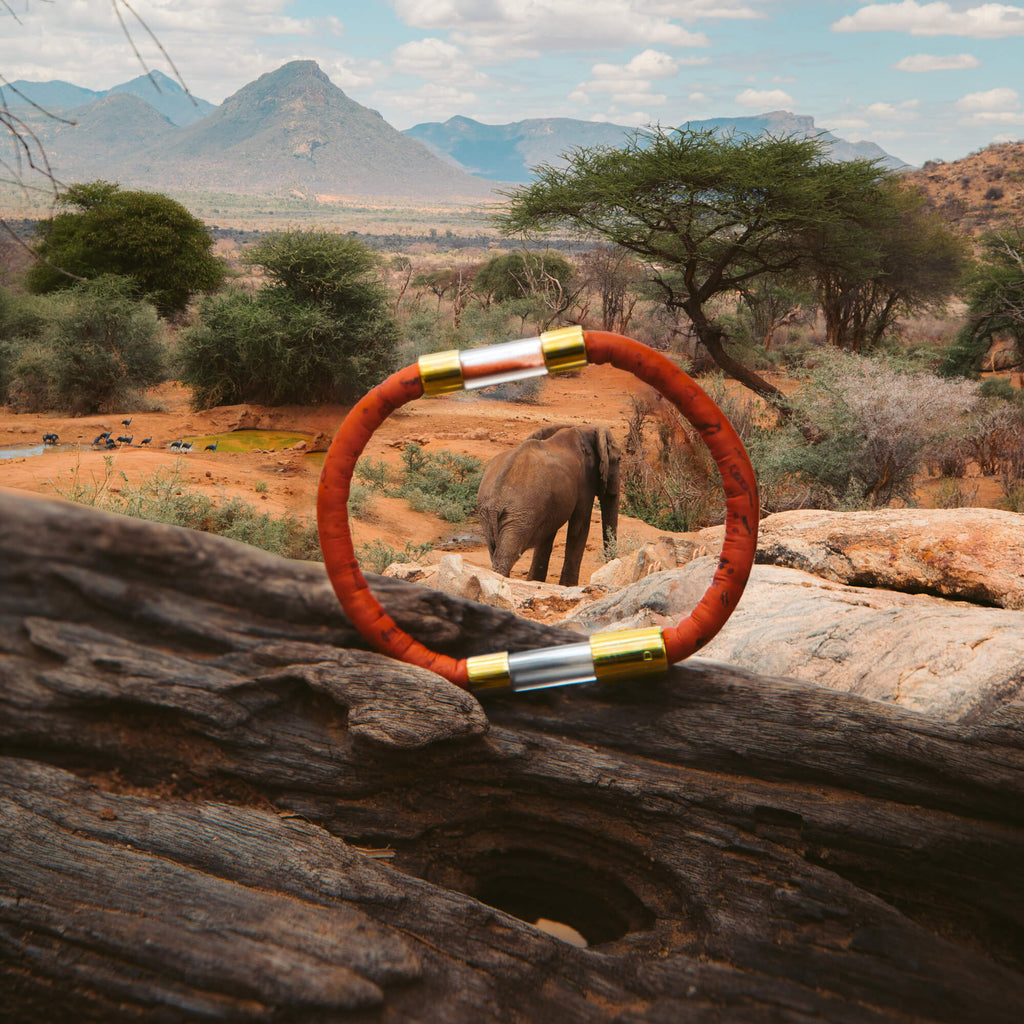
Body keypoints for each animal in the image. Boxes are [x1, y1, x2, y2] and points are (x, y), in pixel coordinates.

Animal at [477, 425, 621, 587]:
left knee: (495, 551)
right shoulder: (585, 482)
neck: (585, 429)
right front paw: (568, 586)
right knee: (506, 555)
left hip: (489, 514)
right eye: (619, 459)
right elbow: (579, 528)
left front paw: (535, 581)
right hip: (519, 514)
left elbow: (548, 533)